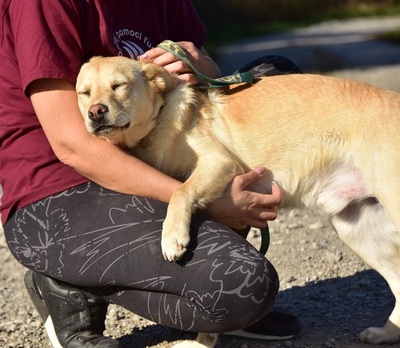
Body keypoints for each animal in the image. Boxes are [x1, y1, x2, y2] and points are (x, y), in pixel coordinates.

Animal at [76, 55, 400, 346]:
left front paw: (173, 236)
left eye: (119, 85)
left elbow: (181, 191)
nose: (96, 112)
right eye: (84, 93)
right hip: (357, 231)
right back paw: (385, 334)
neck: (158, 122)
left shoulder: (220, 163)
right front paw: (202, 343)